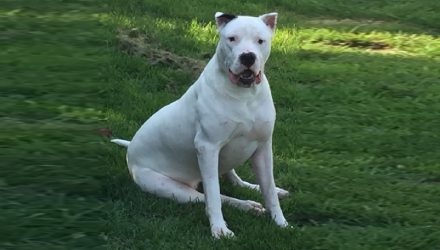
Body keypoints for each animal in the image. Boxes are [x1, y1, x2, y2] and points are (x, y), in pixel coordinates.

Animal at [111, 11, 288, 238]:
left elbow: (269, 190)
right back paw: (246, 205)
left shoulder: (263, 147)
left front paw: (281, 222)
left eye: (260, 41)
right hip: (172, 188)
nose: (248, 57)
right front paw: (220, 229)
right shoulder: (207, 147)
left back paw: (257, 189)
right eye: (232, 39)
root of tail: (130, 149)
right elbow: (213, 195)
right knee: (208, 196)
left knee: (234, 177)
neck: (244, 95)